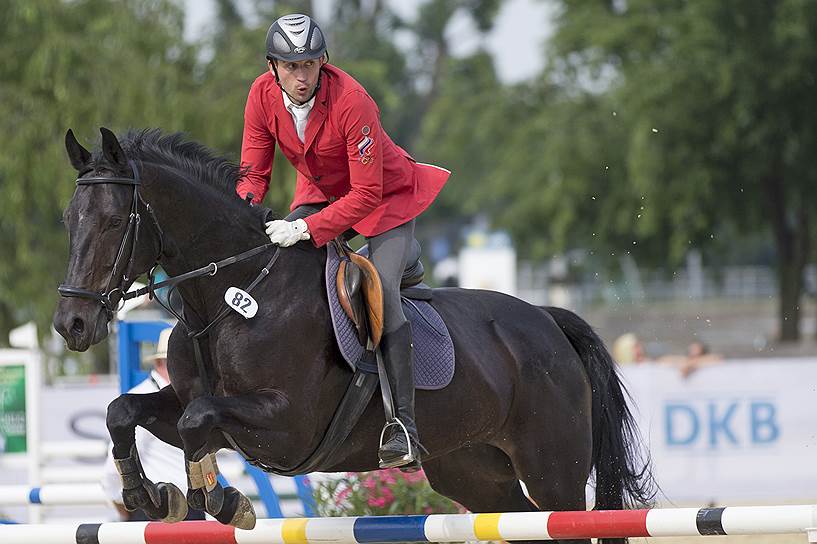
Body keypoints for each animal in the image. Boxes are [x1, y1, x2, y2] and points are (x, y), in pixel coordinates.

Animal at [52, 129, 656, 544]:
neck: (229, 295)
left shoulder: (286, 425)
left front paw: (221, 501)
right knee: (523, 518)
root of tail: (547, 321)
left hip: (553, 467)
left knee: (571, 518)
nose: (70, 325)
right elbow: (126, 411)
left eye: (113, 222)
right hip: (473, 471)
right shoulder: (192, 402)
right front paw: (149, 495)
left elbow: (196, 419)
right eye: (67, 220)